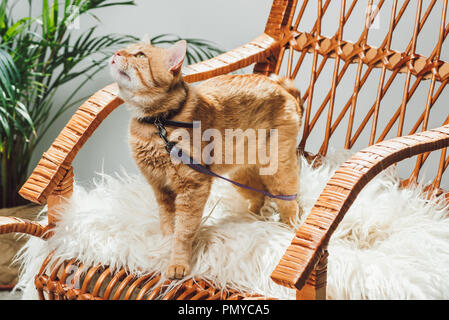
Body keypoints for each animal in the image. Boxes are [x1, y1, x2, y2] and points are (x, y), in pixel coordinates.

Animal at [110, 38, 302, 280]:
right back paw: (249, 220)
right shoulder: (161, 190)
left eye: (140, 56)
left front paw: (177, 263)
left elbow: (183, 232)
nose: (117, 52)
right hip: (241, 175)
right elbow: (168, 226)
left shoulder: (193, 188)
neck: (159, 123)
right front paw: (164, 247)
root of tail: (284, 89)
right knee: (259, 197)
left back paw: (291, 229)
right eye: (127, 48)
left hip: (277, 172)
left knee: (290, 202)